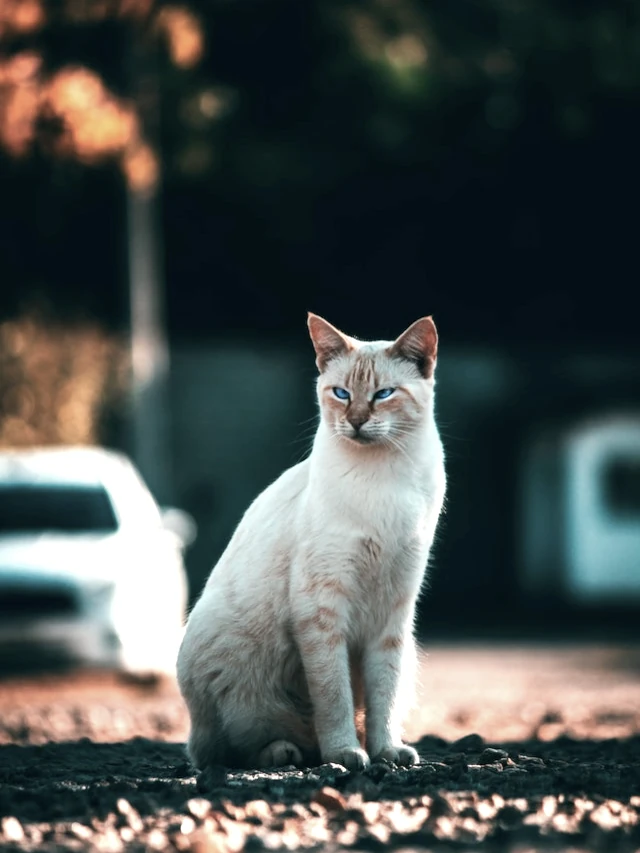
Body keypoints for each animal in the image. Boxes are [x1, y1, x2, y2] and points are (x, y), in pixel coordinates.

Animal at [175, 312, 444, 772]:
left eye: (383, 395)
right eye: (341, 393)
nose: (355, 421)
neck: (383, 478)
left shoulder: (392, 613)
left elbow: (383, 697)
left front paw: (386, 752)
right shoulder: (321, 609)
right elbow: (334, 697)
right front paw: (346, 754)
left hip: (409, 655)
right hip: (239, 677)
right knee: (226, 748)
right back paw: (289, 753)